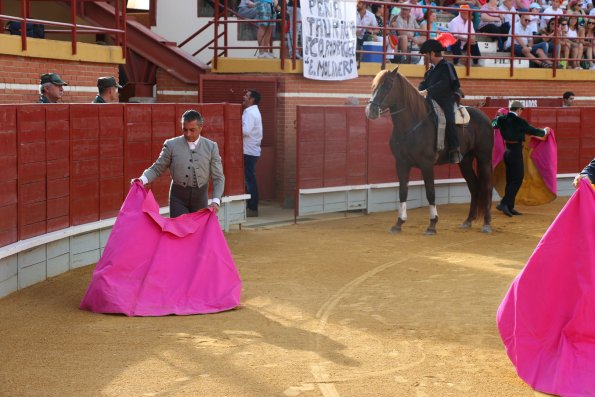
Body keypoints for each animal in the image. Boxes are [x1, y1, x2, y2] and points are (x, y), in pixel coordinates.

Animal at [366, 68, 496, 234]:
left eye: (387, 86)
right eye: (374, 86)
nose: (370, 111)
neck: (412, 124)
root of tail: (485, 117)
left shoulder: (426, 164)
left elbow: (430, 192)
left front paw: (432, 224)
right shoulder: (401, 163)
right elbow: (403, 191)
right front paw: (399, 223)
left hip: (484, 158)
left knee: (487, 187)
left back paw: (486, 223)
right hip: (465, 161)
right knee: (474, 186)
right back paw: (468, 221)